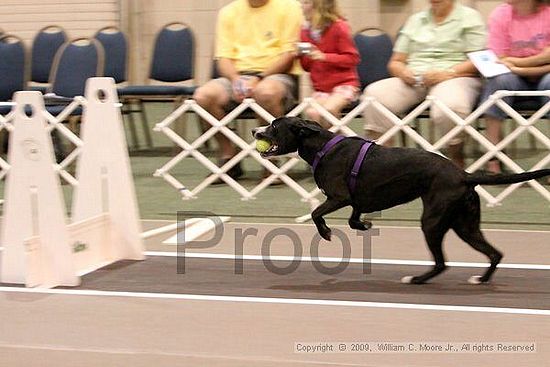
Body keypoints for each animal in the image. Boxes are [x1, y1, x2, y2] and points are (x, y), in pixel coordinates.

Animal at [254, 117, 550, 284]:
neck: (322, 147)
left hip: (432, 221)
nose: (255, 132)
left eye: (274, 126)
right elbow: (353, 218)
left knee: (442, 263)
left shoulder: (339, 196)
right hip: (465, 224)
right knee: (494, 253)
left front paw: (326, 233)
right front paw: (364, 226)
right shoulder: (357, 200)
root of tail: (464, 175)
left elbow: (316, 213)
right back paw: (482, 279)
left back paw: (417, 279)